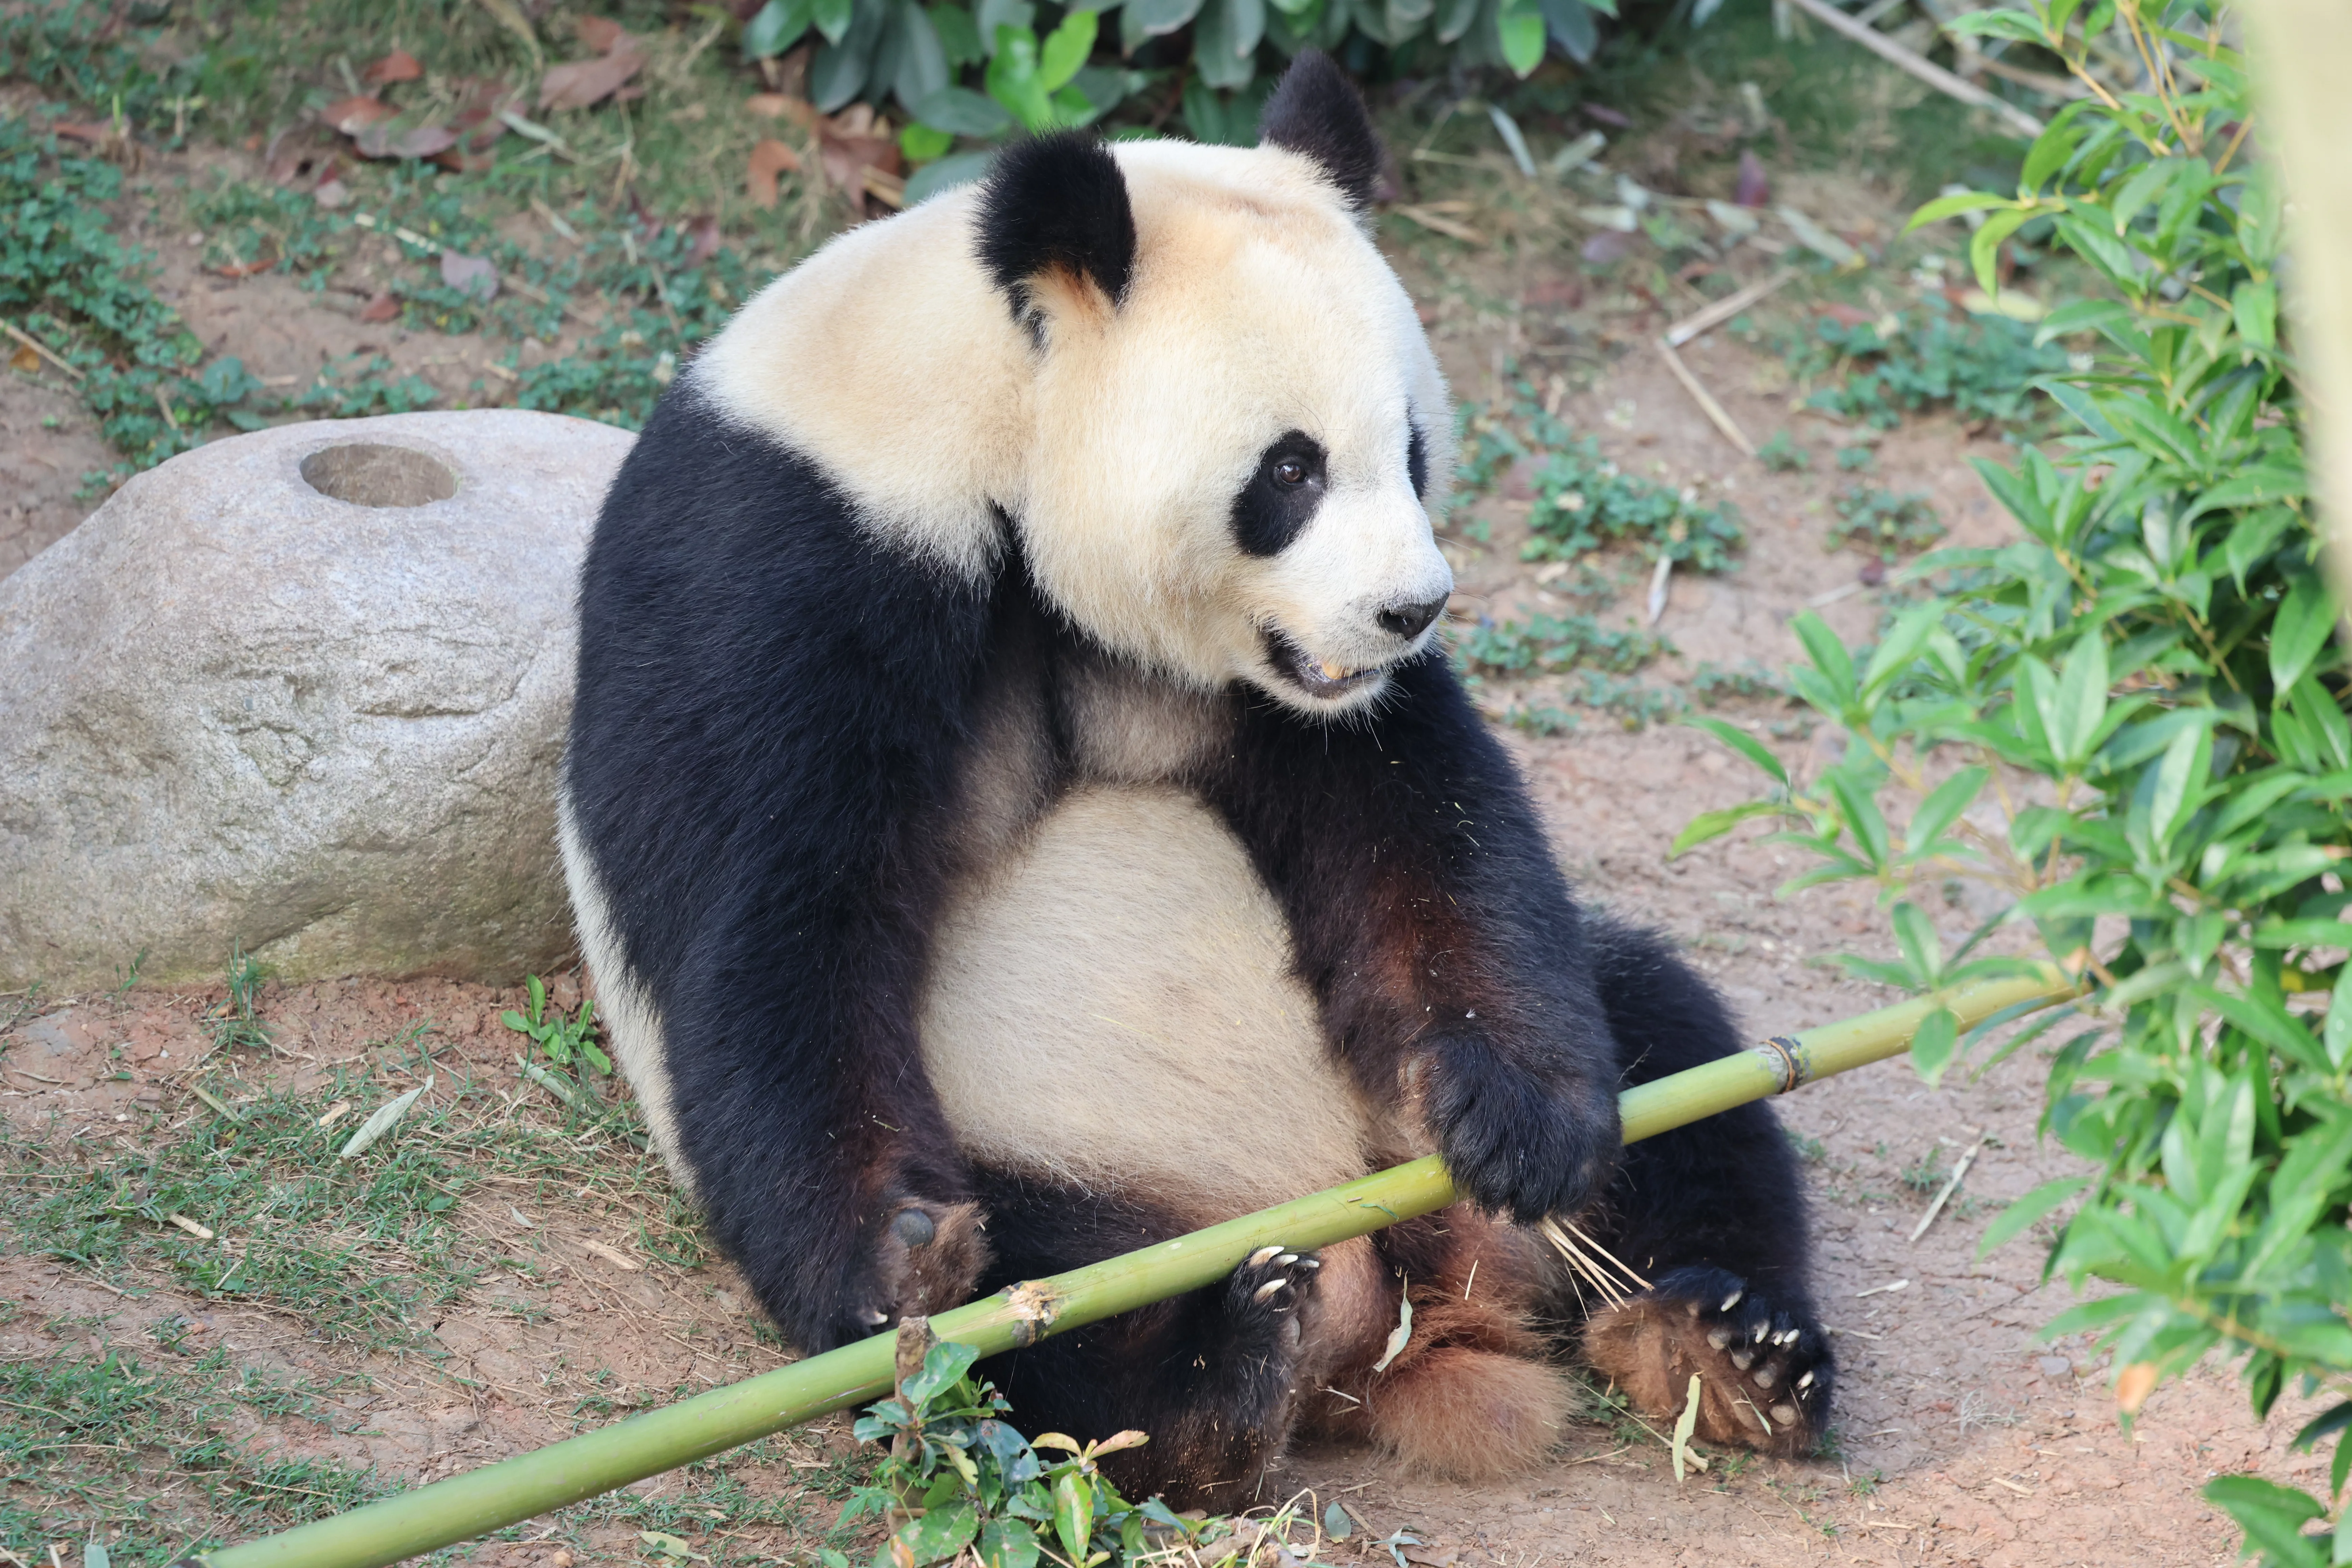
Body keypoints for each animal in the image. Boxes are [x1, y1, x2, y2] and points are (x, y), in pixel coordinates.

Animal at [560, 52, 1831, 1505]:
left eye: (1413, 450)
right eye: (1289, 469)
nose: (1411, 609)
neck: (975, 420)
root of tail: (1402, 1309)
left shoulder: (1289, 696)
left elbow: (1418, 815)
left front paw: (1519, 1120)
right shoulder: (793, 560)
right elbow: (774, 916)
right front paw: (899, 1253)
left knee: (1669, 1041)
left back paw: (1725, 1346)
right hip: (1059, 1158)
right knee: (1039, 1326)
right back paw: (1211, 1382)